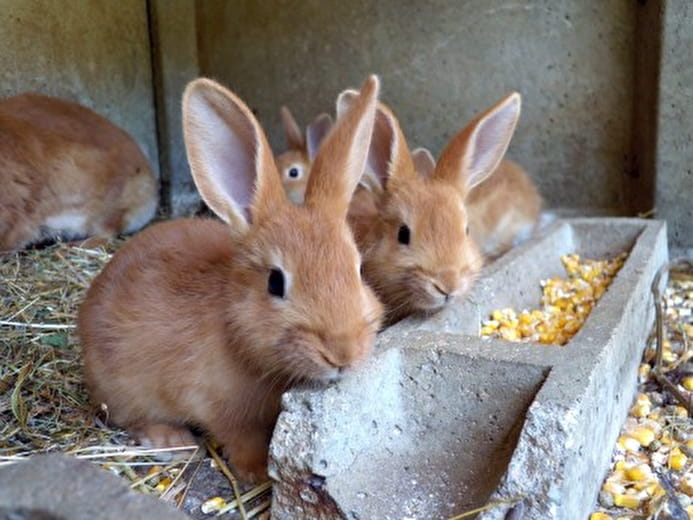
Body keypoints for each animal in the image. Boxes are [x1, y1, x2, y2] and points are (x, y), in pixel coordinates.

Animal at [82, 75, 386, 482]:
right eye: (275, 283)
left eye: (358, 269)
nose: (343, 353)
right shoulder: (216, 405)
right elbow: (238, 437)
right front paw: (258, 471)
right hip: (121, 387)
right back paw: (172, 440)